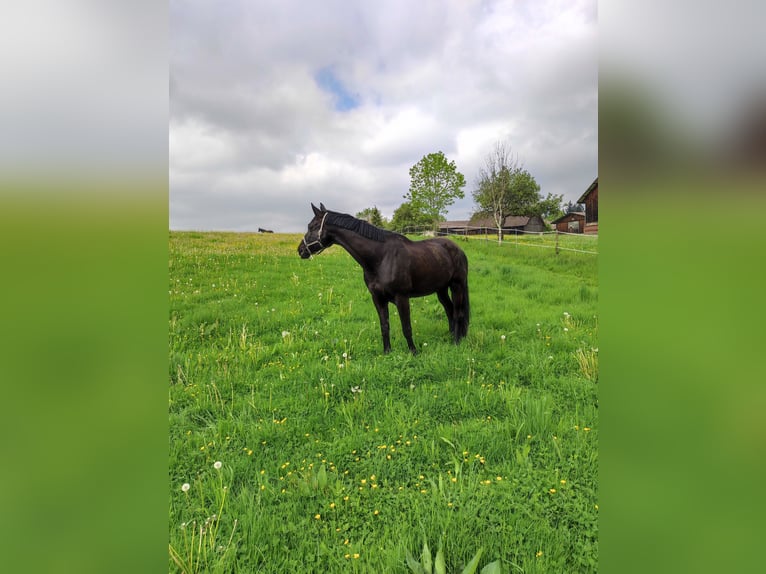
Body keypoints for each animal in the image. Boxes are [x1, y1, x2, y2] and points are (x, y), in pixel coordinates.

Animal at [298, 203, 470, 354]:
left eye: (312, 226)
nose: (301, 250)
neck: (381, 257)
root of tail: (458, 249)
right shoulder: (378, 298)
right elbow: (384, 326)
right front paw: (387, 352)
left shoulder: (402, 298)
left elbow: (406, 327)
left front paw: (413, 352)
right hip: (441, 289)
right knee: (449, 309)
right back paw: (452, 336)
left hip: (457, 286)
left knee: (457, 313)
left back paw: (456, 341)